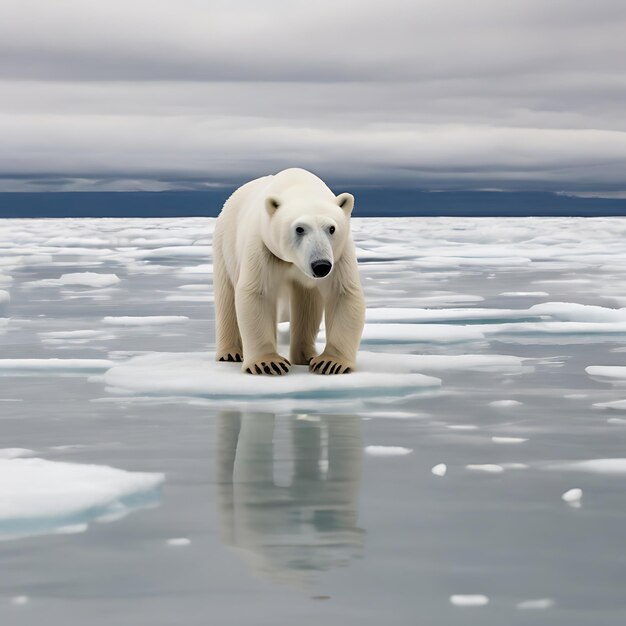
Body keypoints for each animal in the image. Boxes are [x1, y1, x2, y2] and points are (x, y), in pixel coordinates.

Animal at [212, 167, 364, 376]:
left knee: (307, 303)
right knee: (226, 295)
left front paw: (330, 362)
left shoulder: (339, 254)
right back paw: (230, 353)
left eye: (332, 228)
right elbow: (258, 293)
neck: (300, 185)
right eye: (300, 228)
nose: (321, 265)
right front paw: (268, 363)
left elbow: (342, 293)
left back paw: (306, 356)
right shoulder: (264, 246)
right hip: (225, 244)